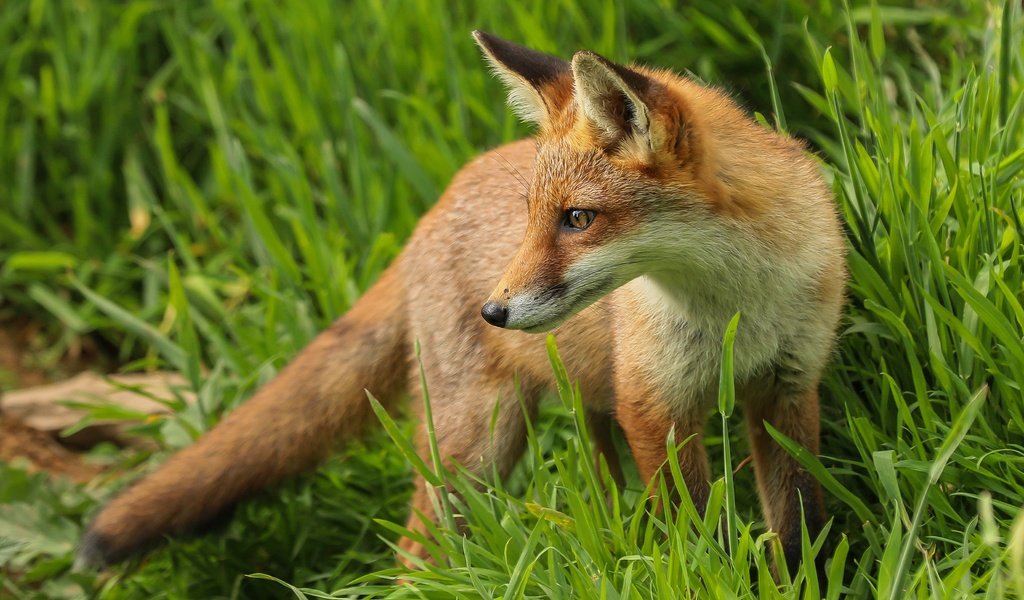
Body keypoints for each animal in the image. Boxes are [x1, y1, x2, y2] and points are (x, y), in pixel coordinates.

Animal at [77, 31, 847, 573]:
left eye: (577, 219)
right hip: (473, 448)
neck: (737, 308)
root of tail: (430, 212)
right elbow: (692, 528)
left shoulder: (786, 386)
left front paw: (800, 580)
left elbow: (800, 524)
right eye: (532, 217)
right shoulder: (653, 402)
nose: (494, 313)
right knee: (415, 556)